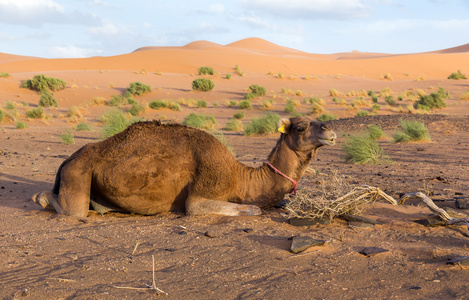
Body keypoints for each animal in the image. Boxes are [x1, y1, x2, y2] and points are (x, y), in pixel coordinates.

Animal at [32, 116, 332, 217]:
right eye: (302, 127)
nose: (330, 130)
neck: (239, 176)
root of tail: (67, 160)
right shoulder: (200, 195)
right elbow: (254, 209)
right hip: (78, 174)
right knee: (68, 207)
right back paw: (40, 197)